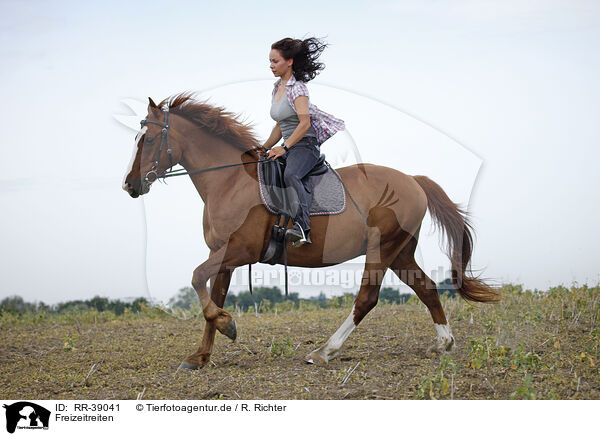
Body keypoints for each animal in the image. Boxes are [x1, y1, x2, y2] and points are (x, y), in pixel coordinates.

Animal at [123, 93, 502, 370]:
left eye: (150, 138)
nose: (129, 185)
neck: (229, 181)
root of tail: (413, 180)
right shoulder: (223, 256)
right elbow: (211, 297)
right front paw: (201, 354)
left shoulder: (239, 250)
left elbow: (197, 279)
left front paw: (227, 325)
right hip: (400, 252)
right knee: (426, 288)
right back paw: (444, 343)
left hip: (382, 248)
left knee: (367, 298)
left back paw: (324, 351)